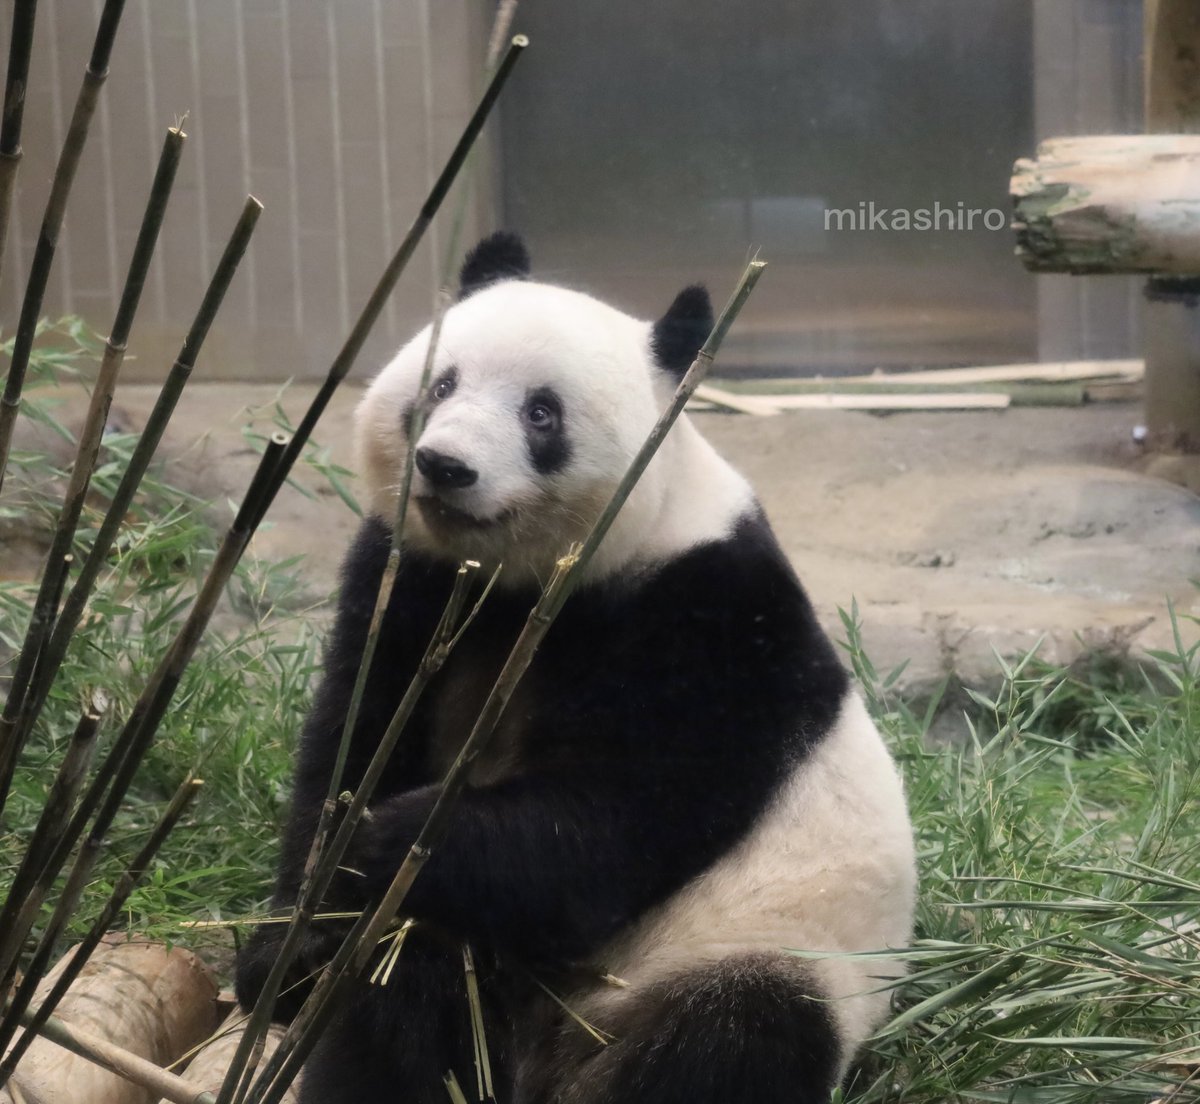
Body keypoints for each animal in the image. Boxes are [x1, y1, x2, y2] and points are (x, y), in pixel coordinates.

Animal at [241, 232, 916, 1104]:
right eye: (442, 383)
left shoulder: (709, 619)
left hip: (756, 952)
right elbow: (352, 736)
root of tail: (551, 1060)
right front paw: (288, 950)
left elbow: (616, 818)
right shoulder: (406, 576)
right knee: (406, 988)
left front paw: (394, 834)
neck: (519, 584)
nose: (444, 466)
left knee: (731, 1038)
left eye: (541, 413)